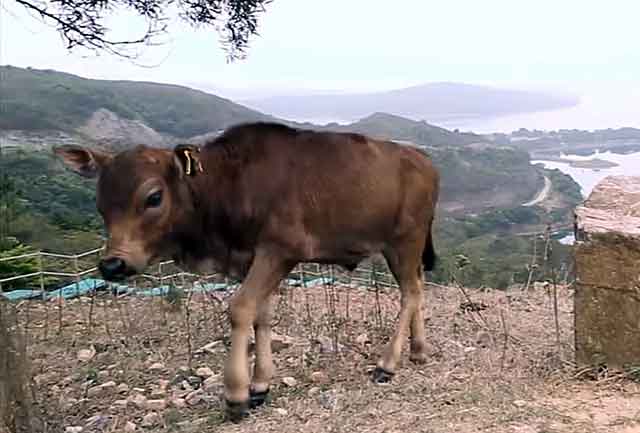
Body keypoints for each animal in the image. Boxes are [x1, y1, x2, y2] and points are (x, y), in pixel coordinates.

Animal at [54, 122, 440, 422]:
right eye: (101, 202)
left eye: (153, 197)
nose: (113, 264)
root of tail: (425, 161)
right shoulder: (251, 259)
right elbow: (260, 315)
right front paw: (259, 385)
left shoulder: (280, 250)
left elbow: (240, 309)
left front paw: (236, 394)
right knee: (418, 287)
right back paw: (418, 350)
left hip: (405, 240)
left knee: (410, 294)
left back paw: (387, 363)